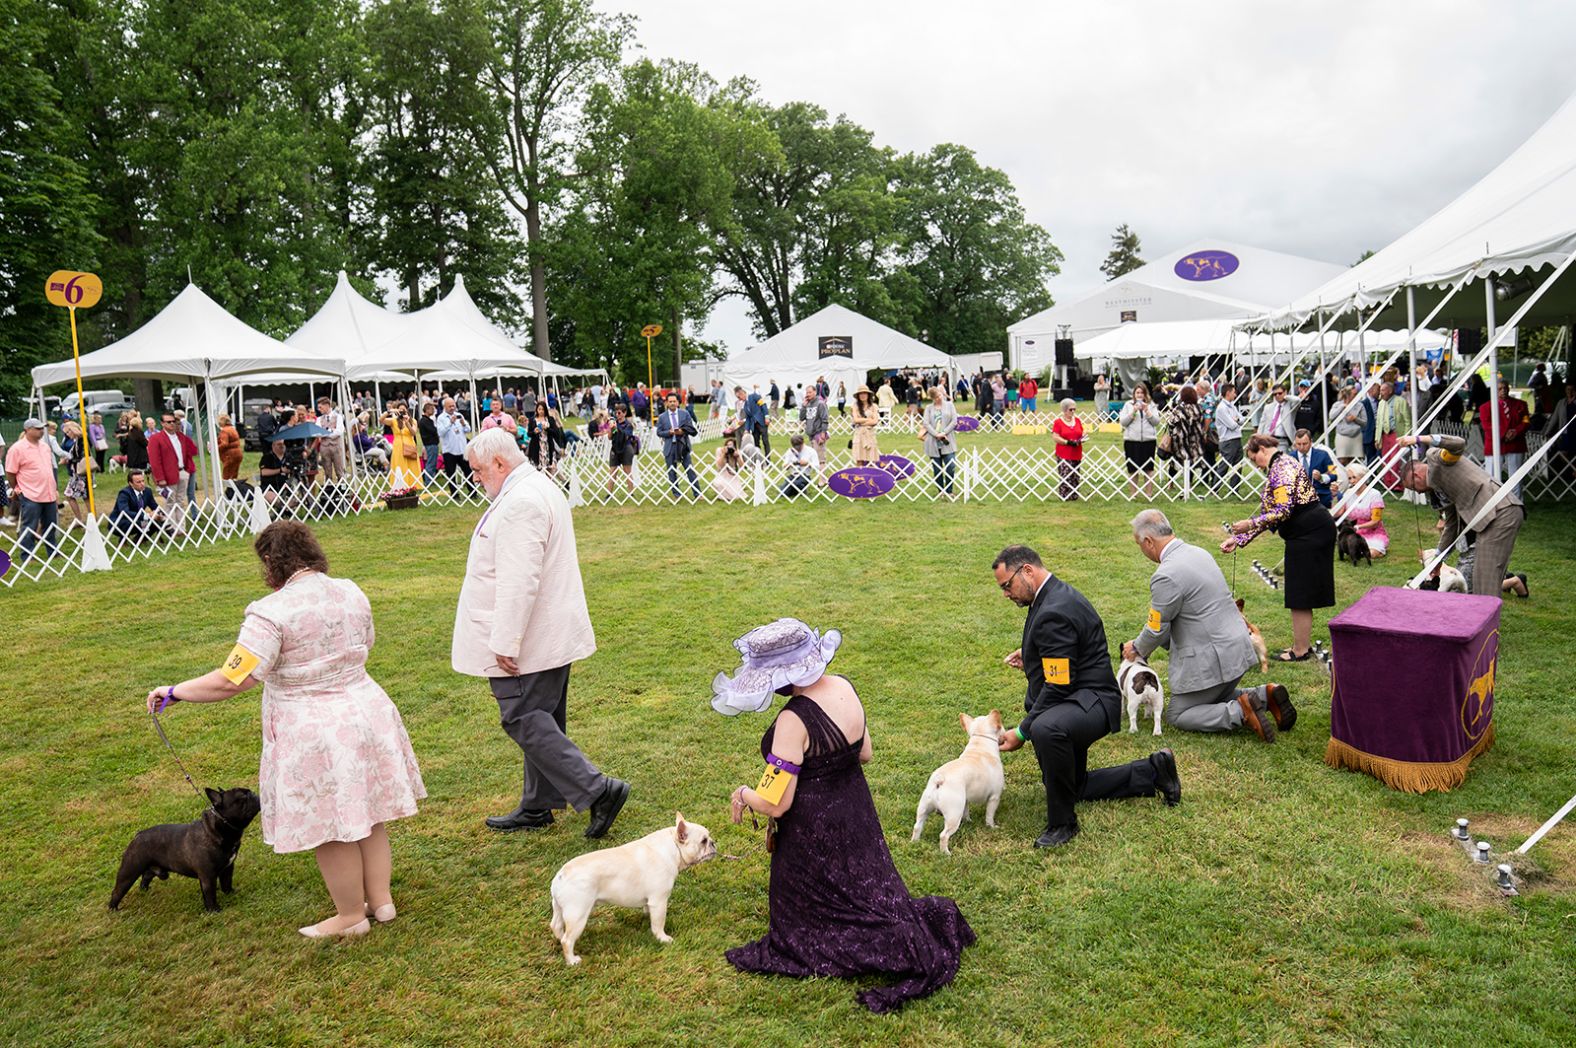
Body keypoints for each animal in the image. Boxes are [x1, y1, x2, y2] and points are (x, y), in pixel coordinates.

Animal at [111, 784, 260, 907]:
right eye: (242, 798)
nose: (254, 793)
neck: (218, 830)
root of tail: (138, 835)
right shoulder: (207, 875)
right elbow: (210, 893)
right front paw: (214, 910)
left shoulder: (228, 868)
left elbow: (227, 883)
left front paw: (231, 894)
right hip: (129, 871)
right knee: (117, 891)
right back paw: (114, 909)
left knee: (146, 877)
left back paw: (145, 891)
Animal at [545, 806, 712, 964]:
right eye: (703, 841)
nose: (713, 842)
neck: (673, 846)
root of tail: (561, 876)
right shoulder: (659, 901)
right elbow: (658, 923)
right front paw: (662, 938)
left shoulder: (651, 902)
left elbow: (649, 912)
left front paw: (647, 918)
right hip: (578, 914)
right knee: (568, 940)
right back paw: (572, 960)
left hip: (560, 908)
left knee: (556, 926)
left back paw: (560, 940)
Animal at [914, 706, 1008, 857]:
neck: (979, 743)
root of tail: (939, 780)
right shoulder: (994, 797)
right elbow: (989, 815)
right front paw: (991, 827)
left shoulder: (966, 799)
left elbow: (967, 810)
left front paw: (968, 821)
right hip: (953, 814)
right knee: (944, 835)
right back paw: (946, 853)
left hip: (924, 807)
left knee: (917, 826)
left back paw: (914, 842)